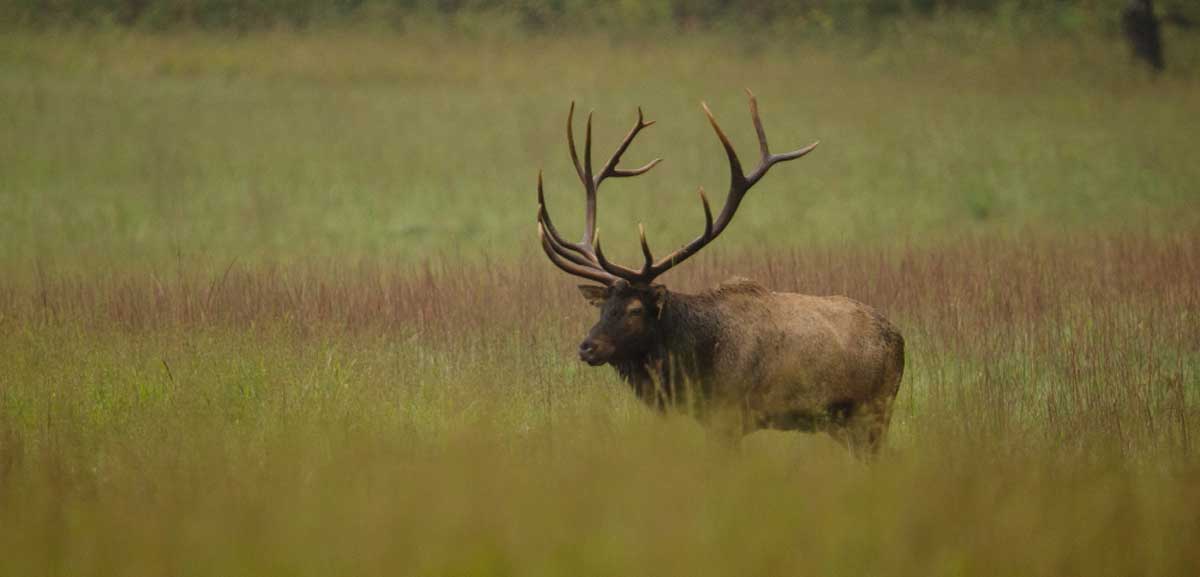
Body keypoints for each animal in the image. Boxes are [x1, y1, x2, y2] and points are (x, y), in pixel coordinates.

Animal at [535, 91, 905, 457]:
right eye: (602, 307)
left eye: (635, 309)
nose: (587, 347)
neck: (694, 362)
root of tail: (900, 339)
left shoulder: (729, 415)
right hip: (844, 424)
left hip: (874, 410)